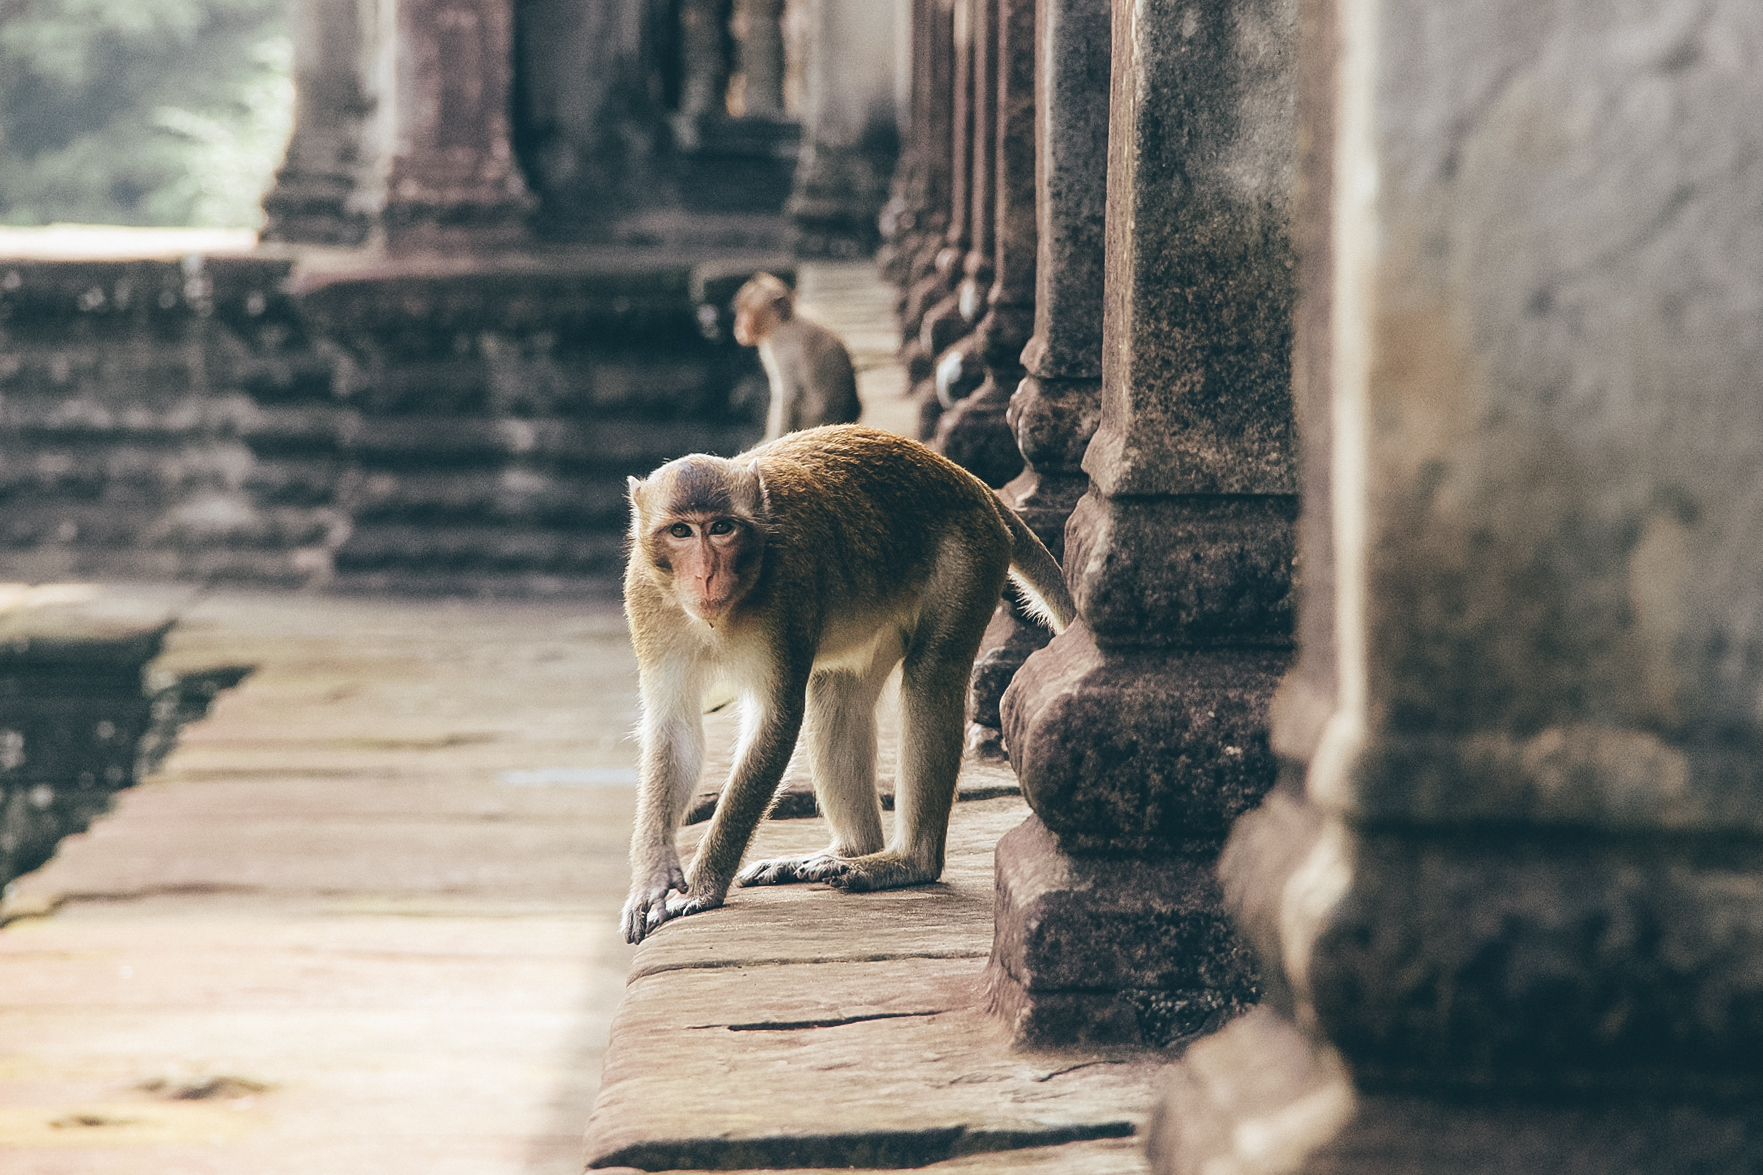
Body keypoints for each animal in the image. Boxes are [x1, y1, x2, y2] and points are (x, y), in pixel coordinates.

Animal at [617, 421, 1071, 945]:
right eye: (681, 531)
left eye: (721, 528)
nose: (707, 573)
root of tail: (971, 483)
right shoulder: (645, 596)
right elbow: (674, 727)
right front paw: (652, 877)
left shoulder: (787, 586)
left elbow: (777, 720)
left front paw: (702, 887)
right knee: (838, 694)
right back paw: (850, 850)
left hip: (969, 559)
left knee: (930, 676)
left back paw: (907, 861)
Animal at [733, 271, 863, 439]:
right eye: (740, 310)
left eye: (747, 312)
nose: (737, 327)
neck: (784, 324)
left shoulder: (783, 352)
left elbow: (788, 396)